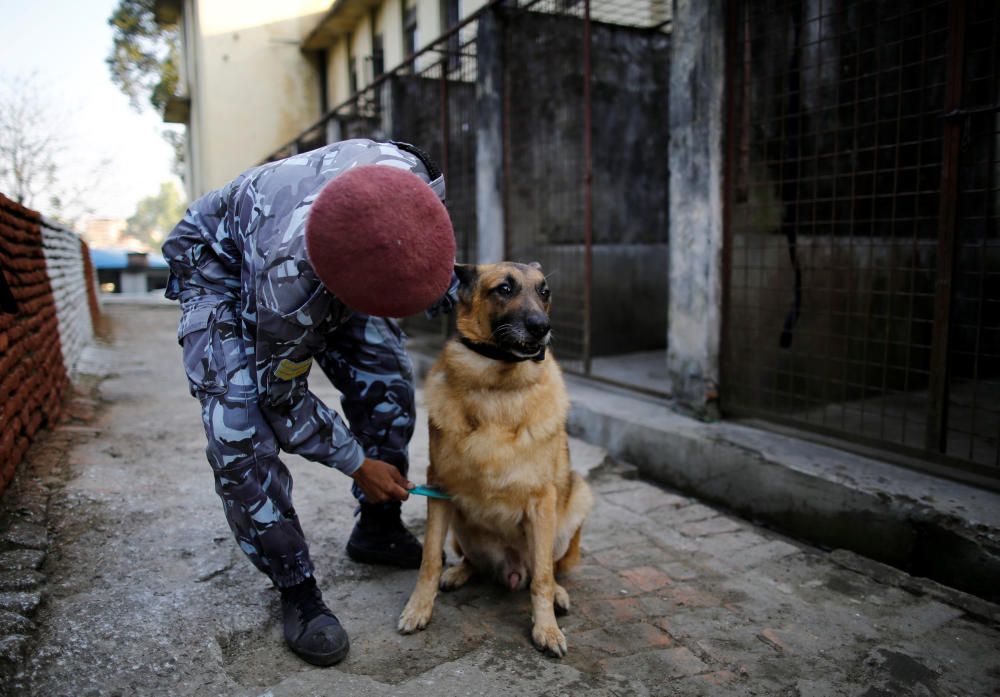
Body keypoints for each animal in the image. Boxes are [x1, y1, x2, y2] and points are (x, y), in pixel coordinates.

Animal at [394, 260, 588, 656]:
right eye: (504, 289)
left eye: (544, 291)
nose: (542, 328)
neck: (499, 389)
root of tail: (510, 570)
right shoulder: (438, 488)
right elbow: (429, 560)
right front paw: (419, 608)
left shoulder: (542, 501)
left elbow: (542, 577)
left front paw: (546, 629)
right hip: (459, 523)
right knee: (471, 560)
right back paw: (458, 572)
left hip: (575, 503)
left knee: (549, 568)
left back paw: (558, 594)